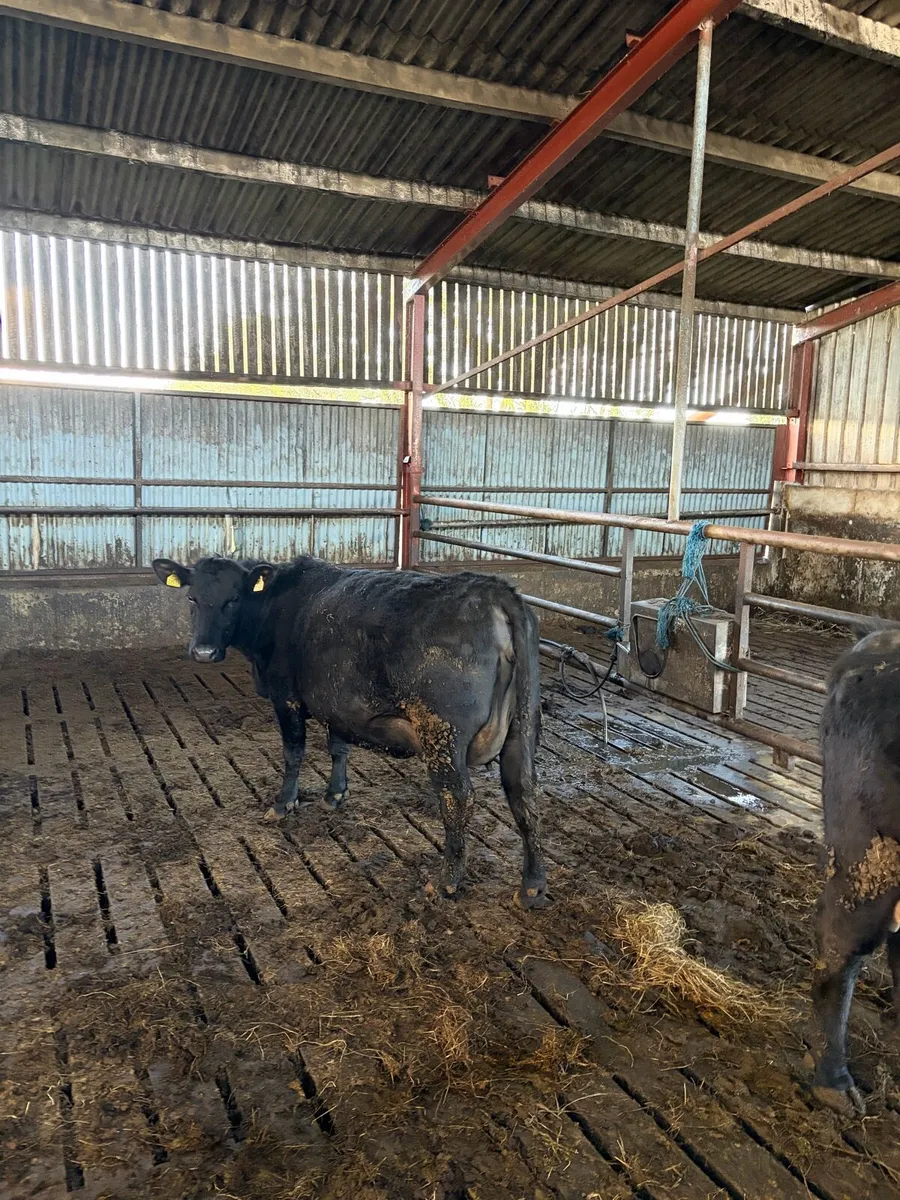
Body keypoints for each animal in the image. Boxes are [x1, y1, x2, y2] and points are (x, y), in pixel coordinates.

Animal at [152, 555, 548, 907]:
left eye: (234, 598)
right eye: (192, 597)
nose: (203, 652)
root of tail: (492, 589)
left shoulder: (286, 696)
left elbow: (293, 752)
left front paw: (283, 803)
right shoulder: (339, 704)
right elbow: (338, 747)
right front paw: (334, 795)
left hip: (442, 732)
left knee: (457, 796)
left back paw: (446, 881)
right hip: (522, 726)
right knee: (522, 790)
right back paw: (532, 886)